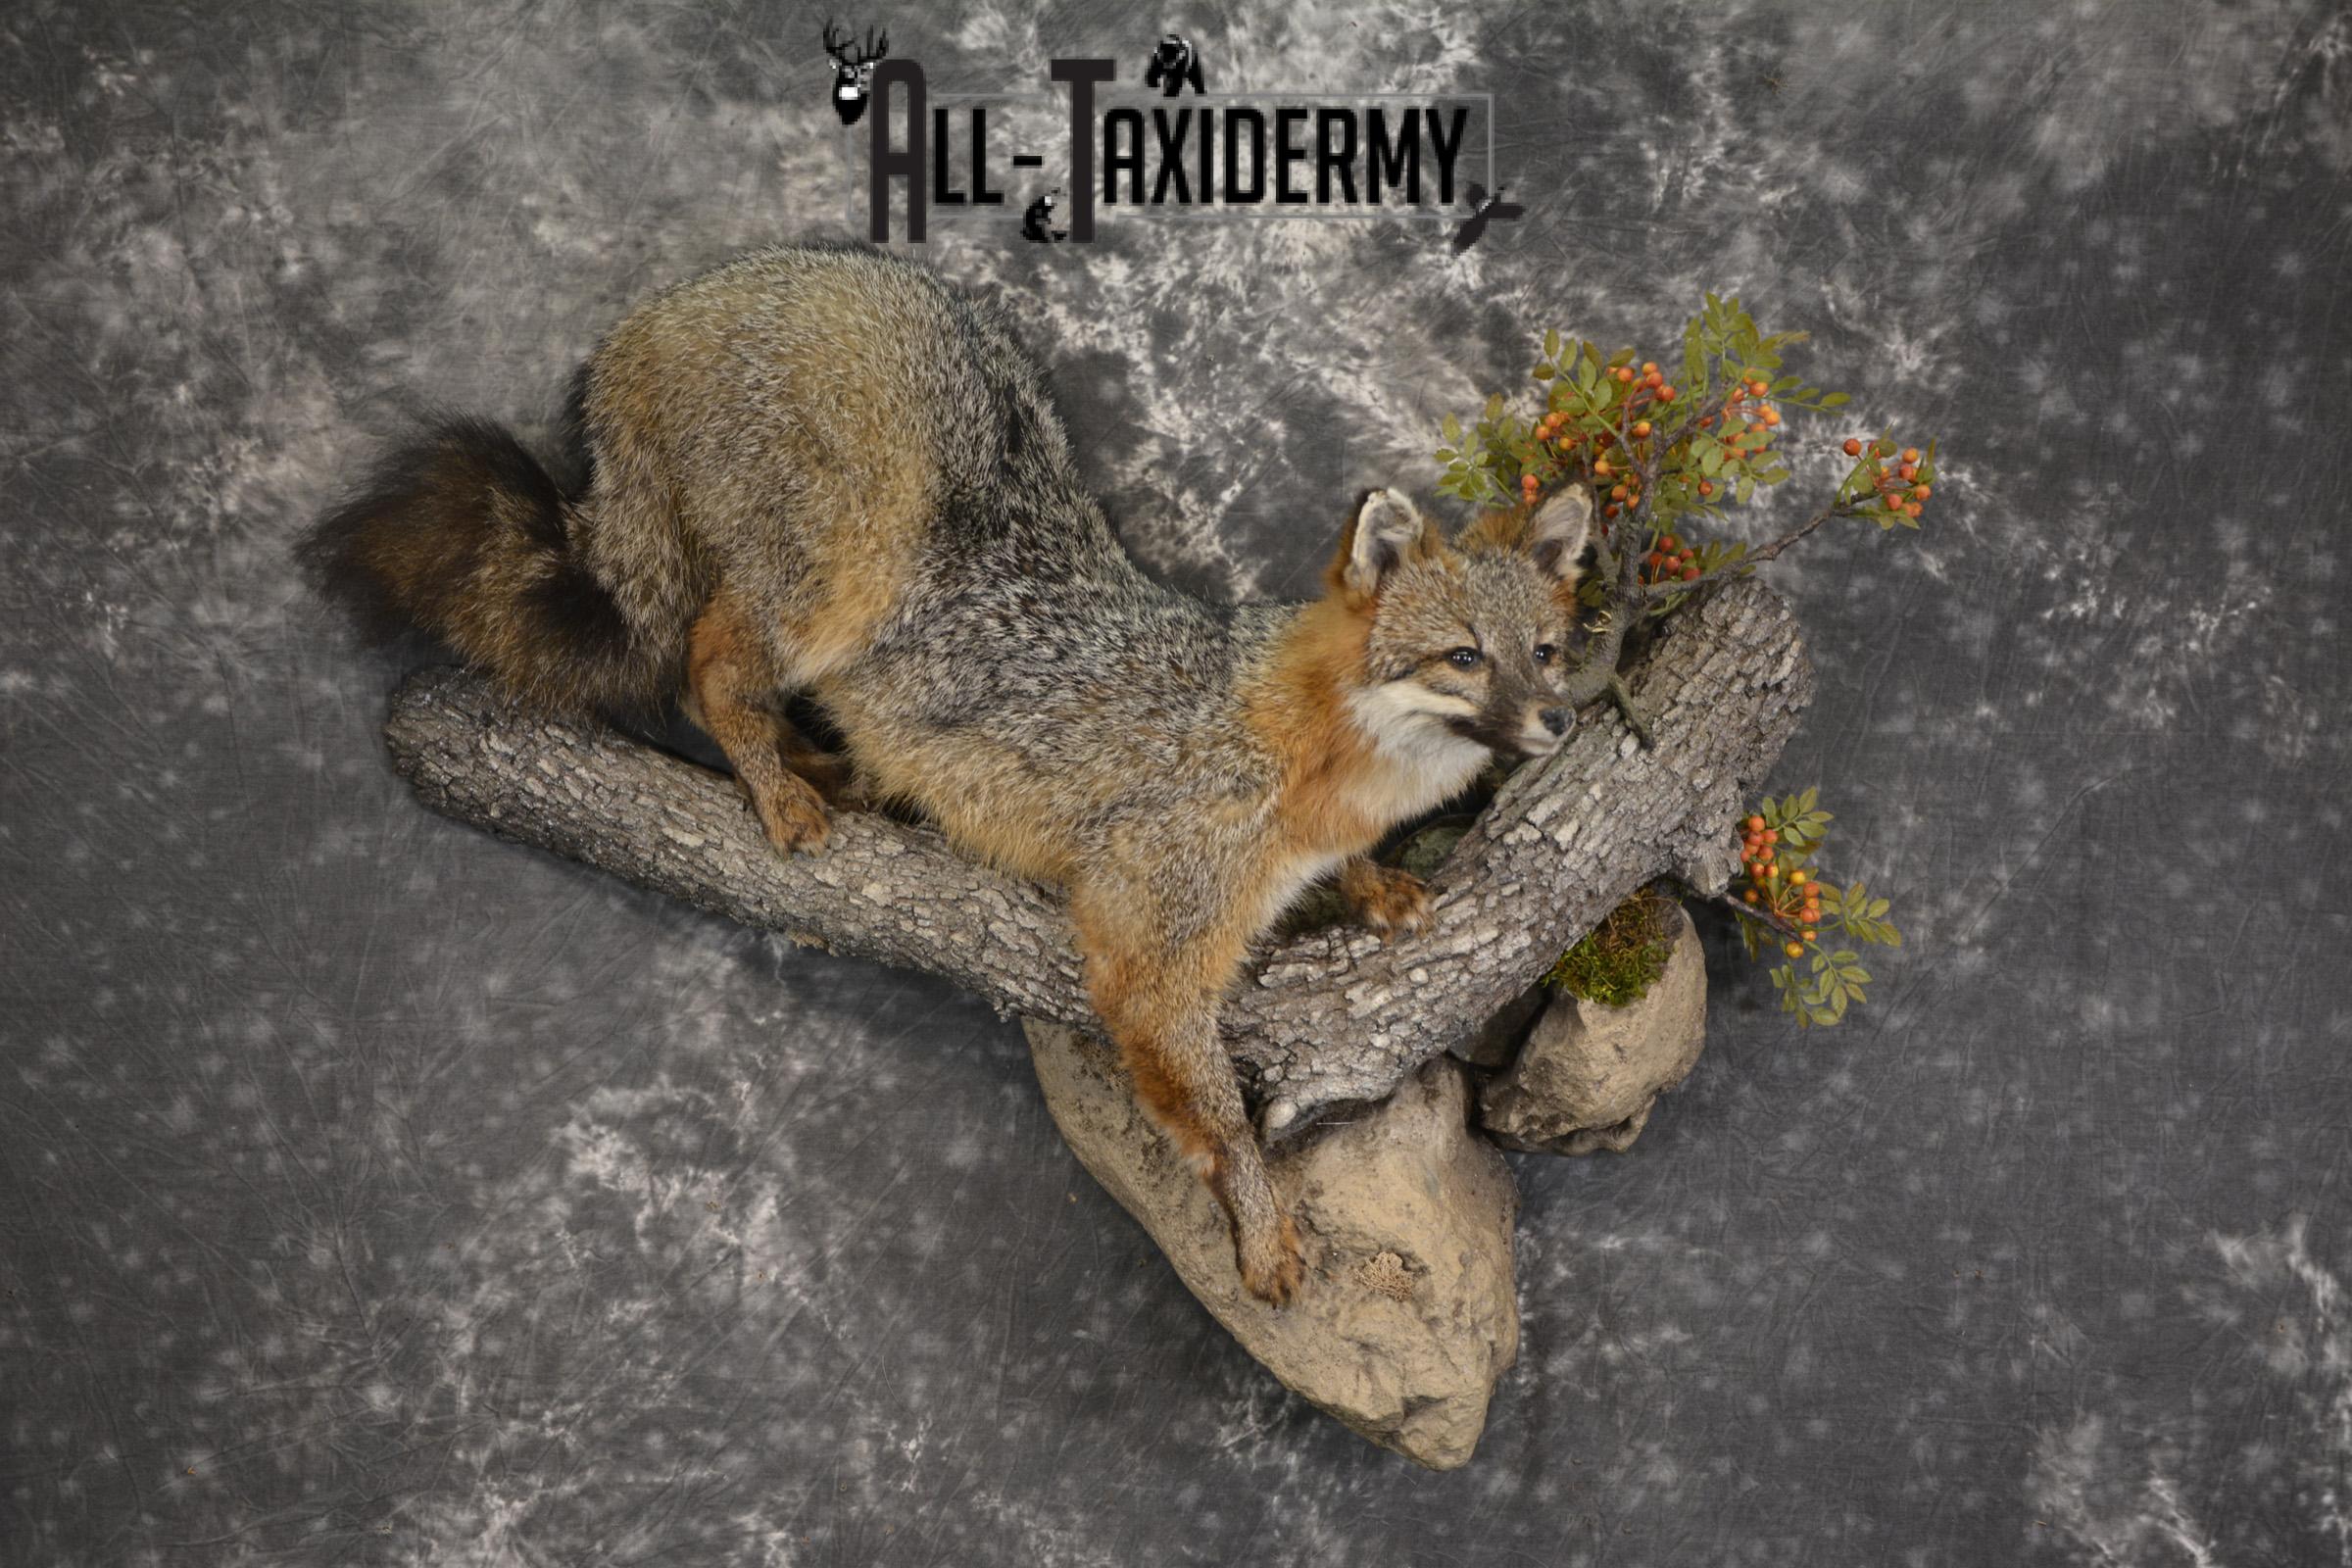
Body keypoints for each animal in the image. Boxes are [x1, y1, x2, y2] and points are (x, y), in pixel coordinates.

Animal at [307, 244, 1595, 1305]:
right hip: (841, 577)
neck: (1307, 752)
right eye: (1464, 658)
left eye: (1546, 650)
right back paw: (779, 786)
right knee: (703, 666)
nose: (1565, 715)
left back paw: (829, 763)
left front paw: (1373, 883)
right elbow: (1224, 1122)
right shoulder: (1148, 944)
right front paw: (1262, 1226)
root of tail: (672, 304)